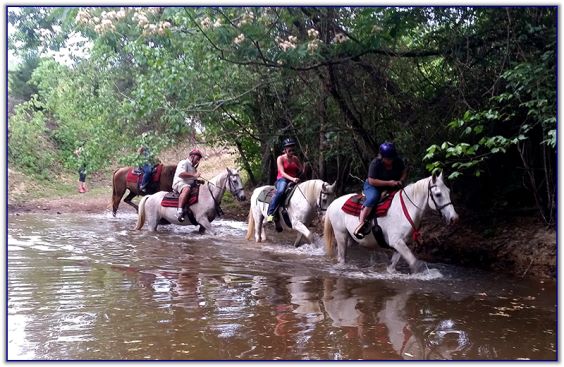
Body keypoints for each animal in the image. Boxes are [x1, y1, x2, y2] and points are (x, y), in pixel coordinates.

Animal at [324, 172, 460, 274]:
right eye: (438, 194)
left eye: (448, 191)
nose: (454, 218)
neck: (406, 209)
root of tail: (333, 203)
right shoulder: (396, 241)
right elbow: (414, 262)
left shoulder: (400, 243)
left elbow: (393, 265)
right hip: (341, 234)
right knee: (342, 256)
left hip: (350, 238)